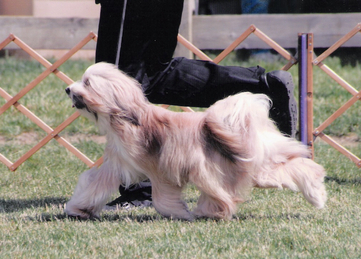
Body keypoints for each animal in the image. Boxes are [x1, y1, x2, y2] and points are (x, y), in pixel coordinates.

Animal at [64, 63, 326, 221]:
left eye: (87, 83)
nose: (68, 89)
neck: (127, 118)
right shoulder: (116, 164)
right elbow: (93, 184)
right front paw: (79, 208)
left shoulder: (161, 171)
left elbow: (163, 197)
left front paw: (179, 213)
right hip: (253, 166)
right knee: (296, 168)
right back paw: (317, 194)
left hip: (223, 168)